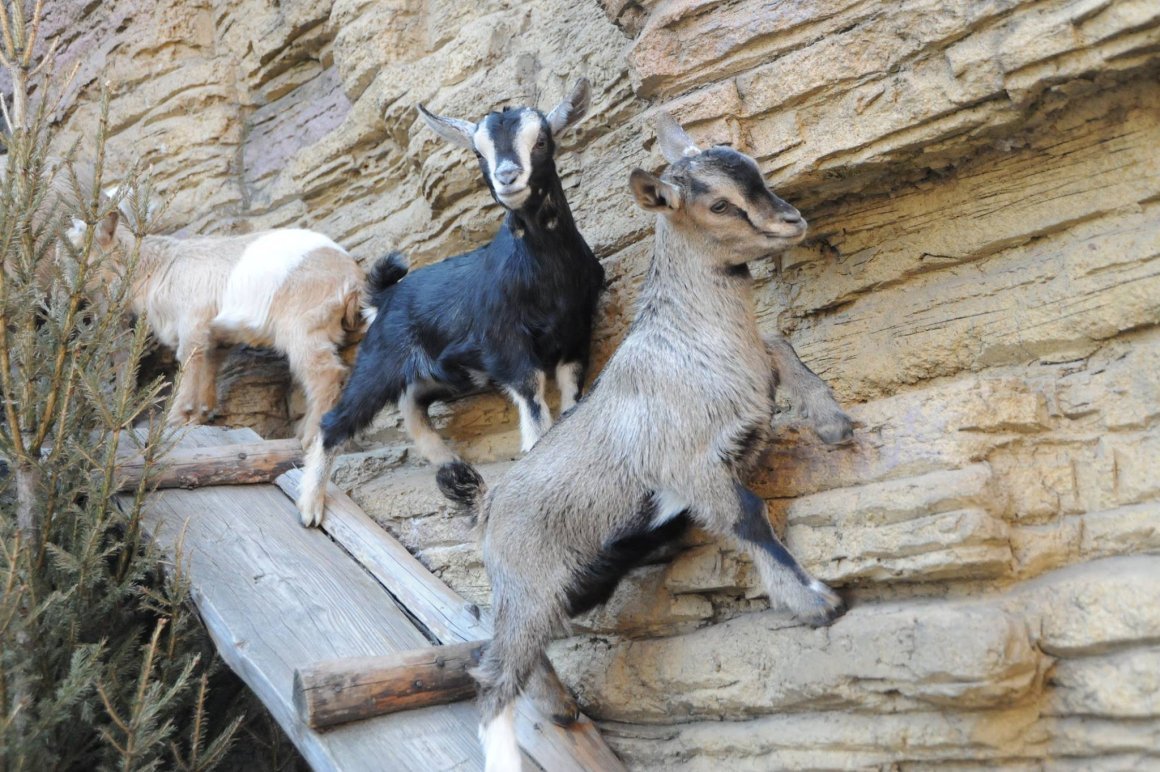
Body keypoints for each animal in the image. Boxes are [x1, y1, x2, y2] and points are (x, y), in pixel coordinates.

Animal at [83, 199, 366, 447]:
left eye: (88, 256)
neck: (160, 266)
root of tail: (352, 278)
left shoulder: (193, 321)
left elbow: (189, 361)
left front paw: (175, 417)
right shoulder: (215, 336)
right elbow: (208, 366)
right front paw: (199, 415)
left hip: (302, 325)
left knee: (327, 373)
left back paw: (309, 436)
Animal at [295, 79, 604, 527]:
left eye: (542, 140)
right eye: (478, 153)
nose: (507, 177)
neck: (548, 275)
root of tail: (385, 295)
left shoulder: (576, 338)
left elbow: (572, 403)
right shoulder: (509, 346)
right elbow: (533, 406)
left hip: (451, 374)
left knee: (412, 402)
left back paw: (449, 463)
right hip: (379, 362)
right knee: (337, 419)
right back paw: (310, 506)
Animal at [436, 114, 851, 772]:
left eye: (755, 172)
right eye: (717, 203)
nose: (792, 221)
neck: (691, 340)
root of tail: (488, 505)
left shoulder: (753, 375)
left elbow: (783, 347)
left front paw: (832, 421)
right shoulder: (689, 468)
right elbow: (748, 516)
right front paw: (814, 600)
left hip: (566, 587)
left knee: (506, 648)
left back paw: (561, 708)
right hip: (530, 585)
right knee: (497, 673)